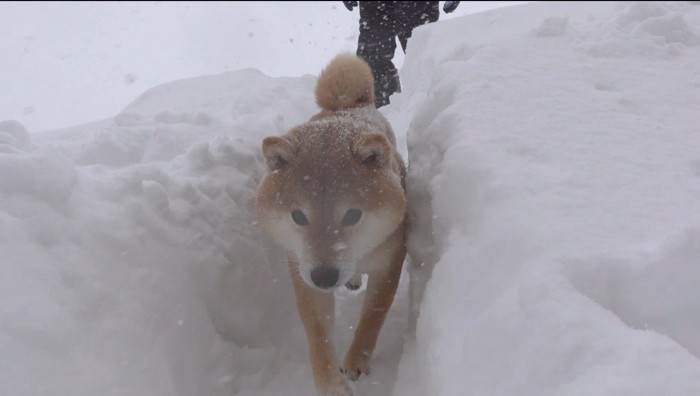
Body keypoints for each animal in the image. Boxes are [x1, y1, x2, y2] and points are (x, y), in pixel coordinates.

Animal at [254, 53, 408, 396]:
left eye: (352, 215)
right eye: (299, 216)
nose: (325, 276)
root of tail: (347, 106)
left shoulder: (389, 260)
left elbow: (372, 317)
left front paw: (355, 361)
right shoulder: (301, 269)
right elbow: (318, 335)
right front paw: (332, 384)